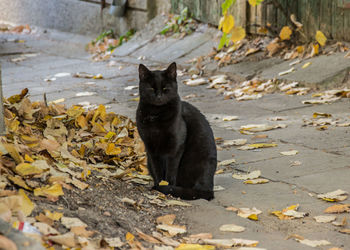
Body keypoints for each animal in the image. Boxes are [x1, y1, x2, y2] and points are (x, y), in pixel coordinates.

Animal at [136, 62, 216, 201]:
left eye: (165, 88)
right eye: (151, 88)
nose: (158, 97)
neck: (156, 115)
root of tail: (208, 189)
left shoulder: (176, 147)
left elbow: (171, 170)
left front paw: (167, 187)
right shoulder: (151, 148)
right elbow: (157, 170)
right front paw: (159, 185)